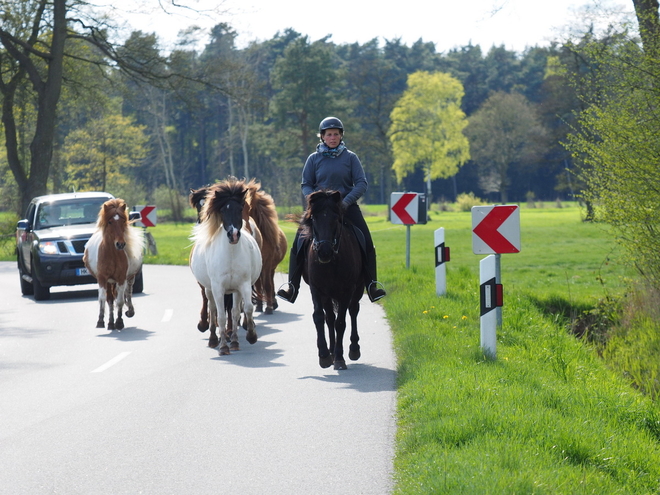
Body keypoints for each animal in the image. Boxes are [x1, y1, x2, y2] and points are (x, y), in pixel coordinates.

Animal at [83, 200, 144, 332]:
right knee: (110, 300)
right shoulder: (102, 279)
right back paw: (110, 323)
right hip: (109, 281)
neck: (112, 254)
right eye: (110, 222)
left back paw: (128, 313)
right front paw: (100, 321)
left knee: (127, 294)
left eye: (123, 221)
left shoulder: (121, 278)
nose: (120, 244)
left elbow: (120, 301)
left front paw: (120, 322)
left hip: (128, 278)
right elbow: (102, 298)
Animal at [189, 180, 262, 354]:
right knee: (213, 309)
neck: (231, 255)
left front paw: (249, 336)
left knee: (234, 311)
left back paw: (233, 339)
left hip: (235, 290)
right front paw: (222, 346)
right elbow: (220, 315)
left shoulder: (242, 285)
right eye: (222, 210)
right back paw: (213, 339)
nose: (233, 235)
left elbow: (245, 309)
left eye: (240, 209)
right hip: (210, 289)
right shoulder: (217, 288)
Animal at [245, 179, 286, 314]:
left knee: (270, 282)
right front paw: (259, 305)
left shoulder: (267, 263)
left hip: (271, 267)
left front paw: (269, 307)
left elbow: (267, 284)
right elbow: (258, 284)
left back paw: (272, 303)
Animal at [300, 192, 364, 370]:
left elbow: (341, 322)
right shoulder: (317, 289)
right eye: (314, 219)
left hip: (357, 289)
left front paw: (340, 358)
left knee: (353, 311)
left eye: (336, 219)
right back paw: (331, 351)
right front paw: (324, 355)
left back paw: (353, 349)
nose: (324, 252)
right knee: (329, 317)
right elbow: (319, 317)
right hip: (326, 295)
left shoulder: (347, 290)